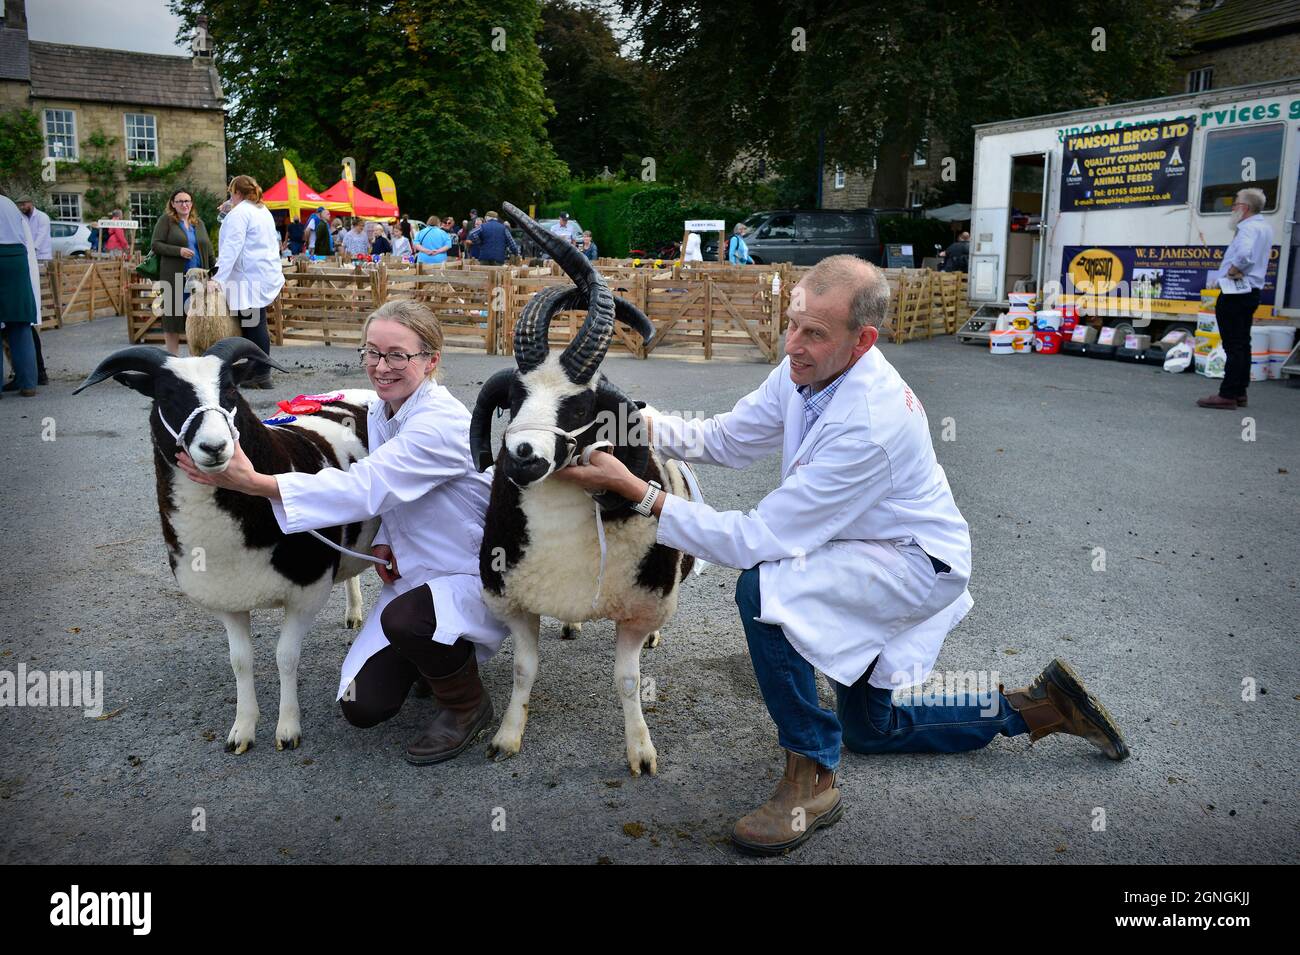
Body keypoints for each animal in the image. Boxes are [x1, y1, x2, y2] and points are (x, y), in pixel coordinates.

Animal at [75, 343, 379, 753]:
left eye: (231, 392)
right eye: (167, 396)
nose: (215, 447)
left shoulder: (306, 591)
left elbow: (285, 657)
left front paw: (287, 728)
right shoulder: (227, 598)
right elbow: (240, 661)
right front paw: (243, 729)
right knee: (349, 571)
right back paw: (353, 611)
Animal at [470, 203, 696, 779]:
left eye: (578, 406)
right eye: (514, 398)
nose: (521, 456)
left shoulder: (639, 606)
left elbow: (628, 680)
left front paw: (641, 751)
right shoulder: (514, 600)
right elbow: (524, 671)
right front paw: (507, 737)